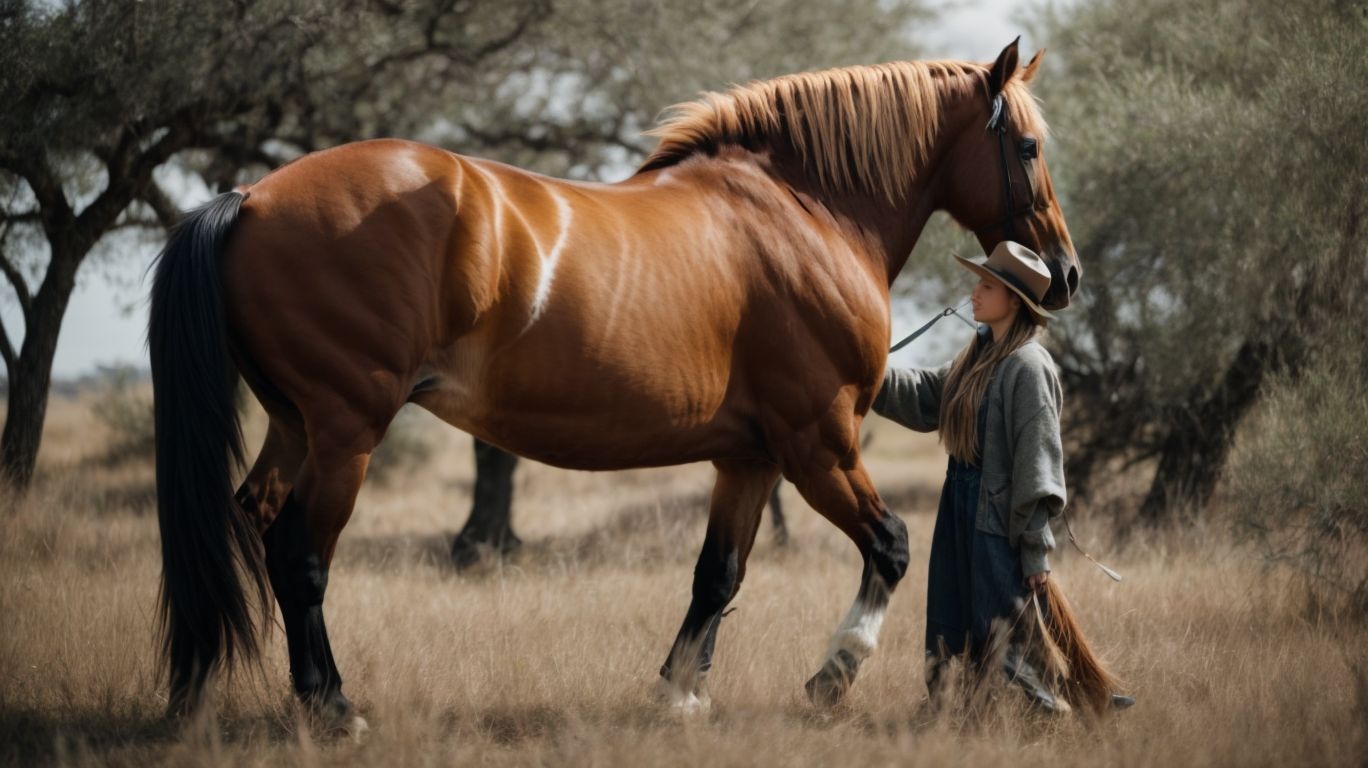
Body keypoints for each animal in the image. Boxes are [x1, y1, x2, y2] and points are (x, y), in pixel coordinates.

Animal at [148, 40, 1079, 730]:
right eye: (1029, 146)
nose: (1063, 275)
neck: (803, 210)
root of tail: (252, 198)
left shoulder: (748, 460)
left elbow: (718, 576)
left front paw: (680, 693)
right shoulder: (818, 444)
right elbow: (890, 546)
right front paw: (832, 675)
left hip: (295, 426)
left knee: (258, 529)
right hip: (347, 431)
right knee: (300, 554)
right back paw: (333, 707)